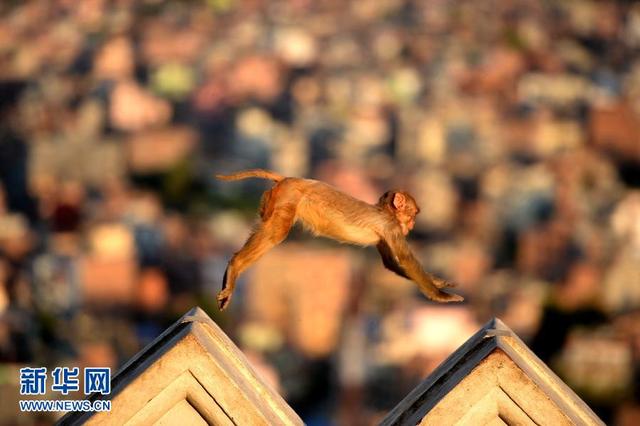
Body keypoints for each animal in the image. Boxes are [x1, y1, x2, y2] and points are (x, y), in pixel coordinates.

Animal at [216, 168, 464, 312]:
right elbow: (404, 259)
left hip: (273, 201)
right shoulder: (391, 228)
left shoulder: (386, 235)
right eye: (413, 215)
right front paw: (441, 295)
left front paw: (440, 282)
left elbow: (391, 263)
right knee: (276, 232)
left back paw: (234, 267)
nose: (411, 226)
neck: (385, 212)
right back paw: (236, 265)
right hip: (286, 197)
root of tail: (288, 178)